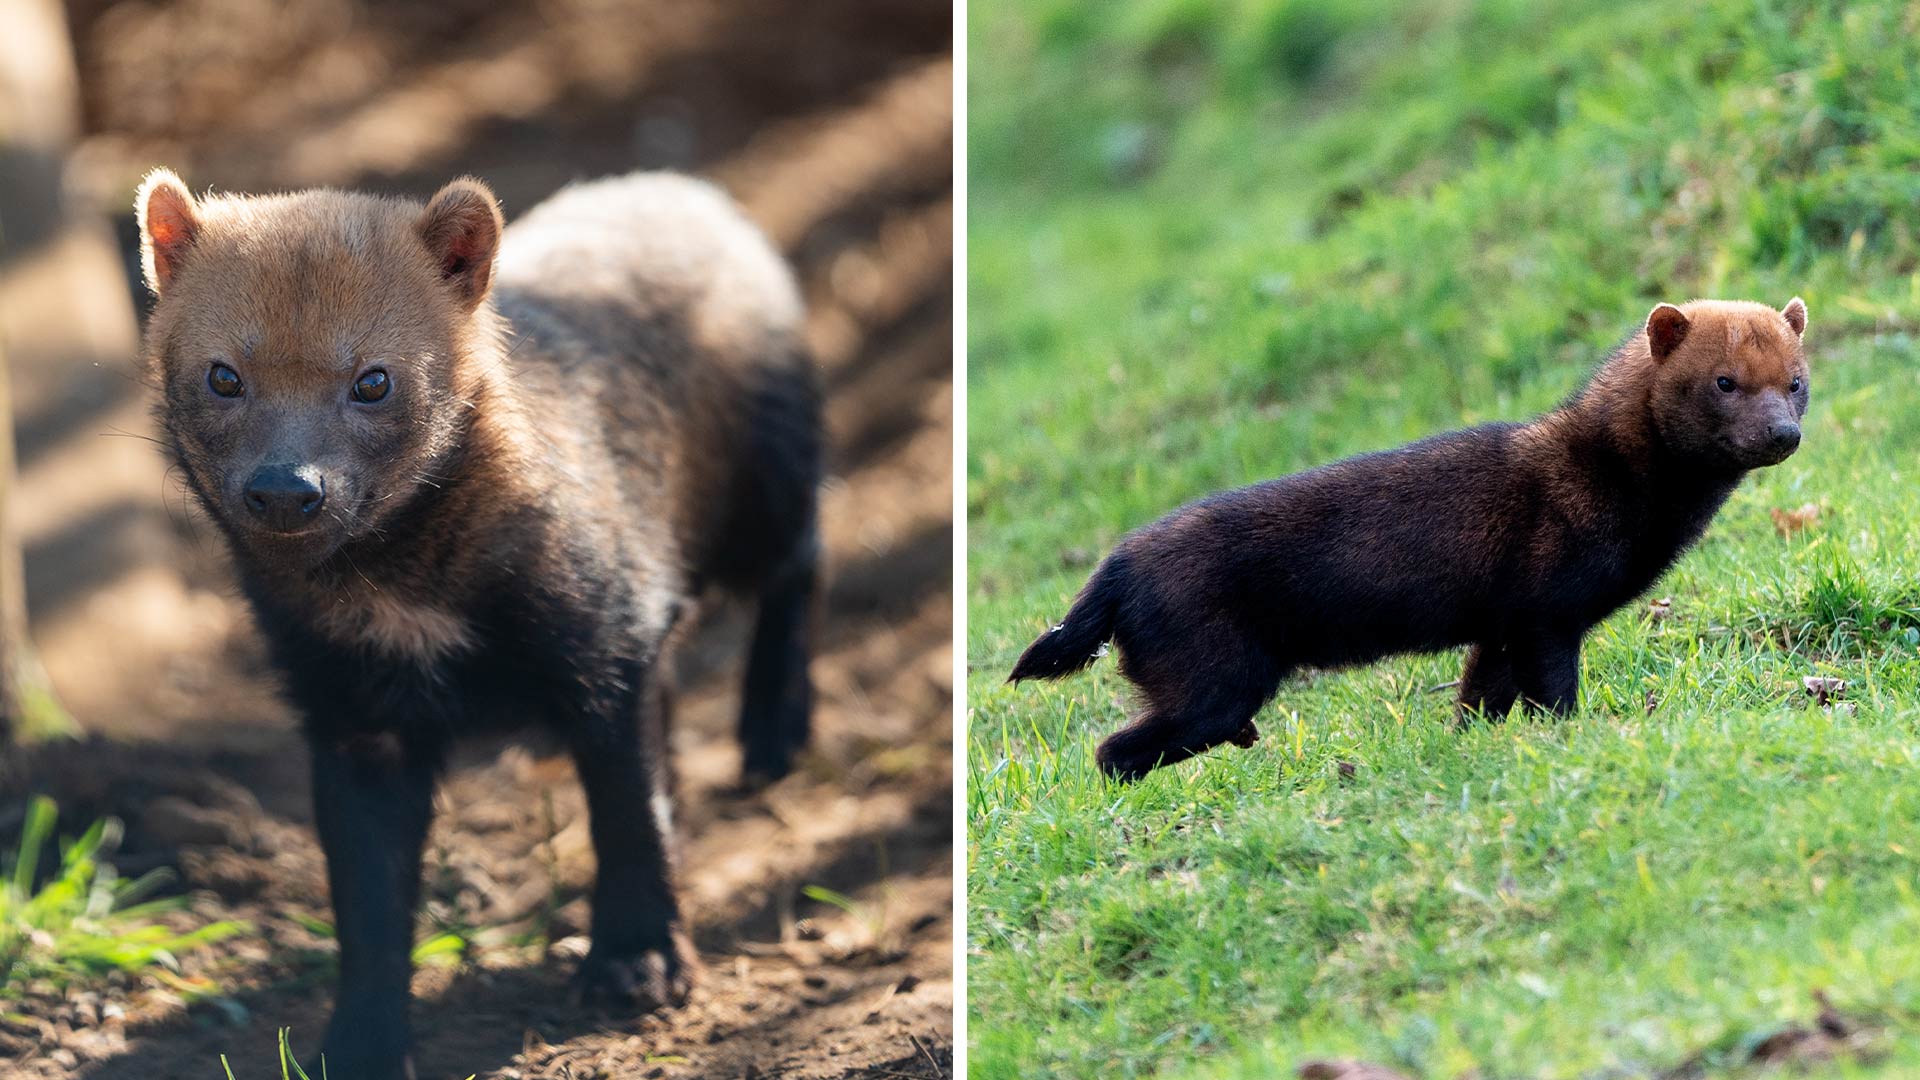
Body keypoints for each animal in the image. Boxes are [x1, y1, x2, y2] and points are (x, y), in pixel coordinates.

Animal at [133, 170, 825, 1076]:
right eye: (222, 375)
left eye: (374, 380)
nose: (285, 488)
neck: (412, 606)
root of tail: (687, 191)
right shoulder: (352, 719)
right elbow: (368, 903)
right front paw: (360, 1043)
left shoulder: (608, 648)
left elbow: (629, 812)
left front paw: (638, 966)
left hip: (763, 498)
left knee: (802, 558)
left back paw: (775, 730)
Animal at [1013, 297, 1804, 776]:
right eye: (1724, 381)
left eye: (1796, 379)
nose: (1782, 433)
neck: (1611, 483)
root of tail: (1118, 562)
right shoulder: (1547, 607)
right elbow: (1551, 689)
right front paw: (1564, 734)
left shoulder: (1502, 621)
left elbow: (1480, 695)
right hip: (1213, 677)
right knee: (1116, 749)